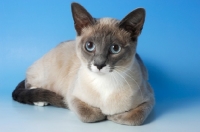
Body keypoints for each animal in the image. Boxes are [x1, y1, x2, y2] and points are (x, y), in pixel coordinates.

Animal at [12, 2, 155, 126]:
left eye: (115, 48)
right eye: (89, 46)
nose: (99, 64)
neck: (105, 83)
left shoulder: (150, 100)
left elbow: (135, 118)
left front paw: (114, 116)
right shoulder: (72, 97)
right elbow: (89, 115)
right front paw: (104, 115)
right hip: (46, 74)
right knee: (28, 82)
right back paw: (40, 100)